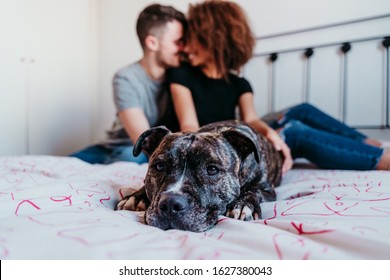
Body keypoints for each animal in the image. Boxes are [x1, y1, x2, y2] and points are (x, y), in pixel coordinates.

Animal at [116, 120, 284, 232]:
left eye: (212, 169)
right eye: (159, 166)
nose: (170, 203)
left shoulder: (268, 190)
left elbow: (253, 190)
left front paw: (243, 204)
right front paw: (135, 197)